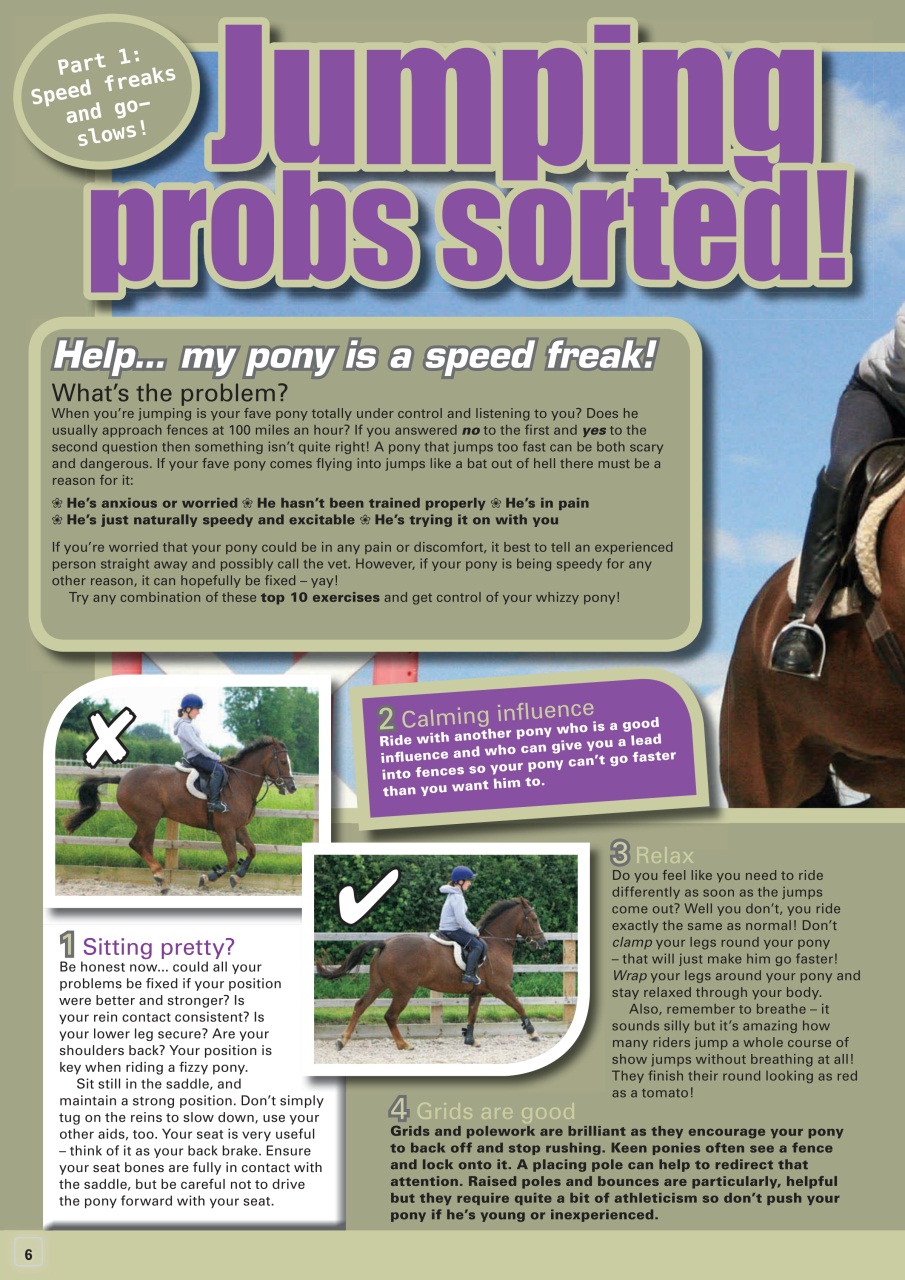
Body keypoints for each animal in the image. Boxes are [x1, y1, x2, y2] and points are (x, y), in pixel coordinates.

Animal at [64, 737, 297, 892]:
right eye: (283, 762)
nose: (292, 787)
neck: (240, 783)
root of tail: (123, 779)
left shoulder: (239, 828)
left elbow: (252, 850)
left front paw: (237, 878)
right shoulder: (226, 830)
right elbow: (231, 859)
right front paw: (208, 877)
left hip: (149, 822)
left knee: (144, 846)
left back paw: (160, 878)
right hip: (148, 819)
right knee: (137, 844)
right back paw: (160, 877)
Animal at [316, 898, 548, 1051]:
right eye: (534, 918)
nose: (543, 942)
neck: (495, 945)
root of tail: (385, 943)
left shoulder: (477, 992)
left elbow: (472, 1015)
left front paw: (470, 1040)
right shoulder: (501, 988)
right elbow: (519, 1006)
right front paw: (533, 1033)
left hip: (378, 984)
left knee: (360, 1006)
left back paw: (342, 1040)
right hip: (404, 990)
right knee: (390, 1015)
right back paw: (403, 1044)